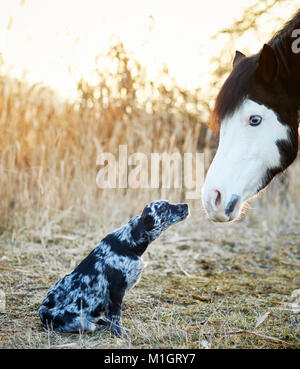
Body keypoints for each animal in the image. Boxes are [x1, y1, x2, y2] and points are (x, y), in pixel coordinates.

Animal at [37, 200, 188, 334]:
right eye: (164, 207)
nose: (186, 205)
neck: (128, 243)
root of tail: (42, 314)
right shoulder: (116, 290)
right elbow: (115, 316)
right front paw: (119, 332)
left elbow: (111, 316)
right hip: (82, 322)